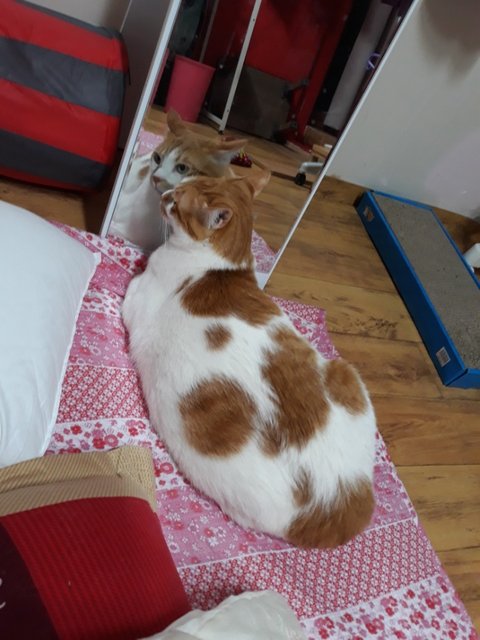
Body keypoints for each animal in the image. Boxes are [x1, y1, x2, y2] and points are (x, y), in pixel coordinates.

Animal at [122, 174, 376, 548]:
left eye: (177, 199)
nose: (165, 192)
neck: (224, 263)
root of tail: (338, 506)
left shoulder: (137, 299)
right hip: (349, 374)